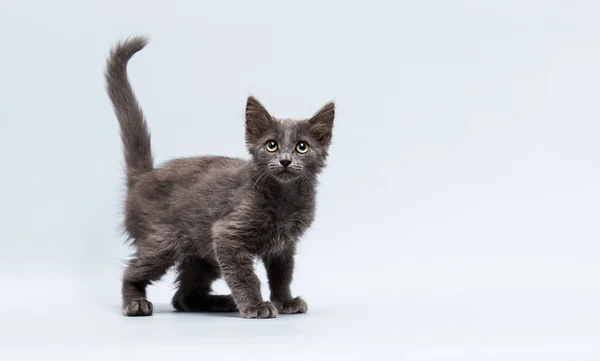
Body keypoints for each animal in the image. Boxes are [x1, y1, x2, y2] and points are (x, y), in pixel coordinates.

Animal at [105, 35, 336, 318]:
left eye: (302, 147)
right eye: (271, 145)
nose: (285, 160)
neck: (285, 198)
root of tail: (144, 176)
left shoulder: (284, 245)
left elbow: (282, 274)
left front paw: (284, 300)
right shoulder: (227, 235)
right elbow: (245, 276)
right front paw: (256, 305)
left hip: (203, 254)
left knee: (183, 298)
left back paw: (223, 302)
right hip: (163, 241)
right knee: (133, 271)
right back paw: (135, 302)